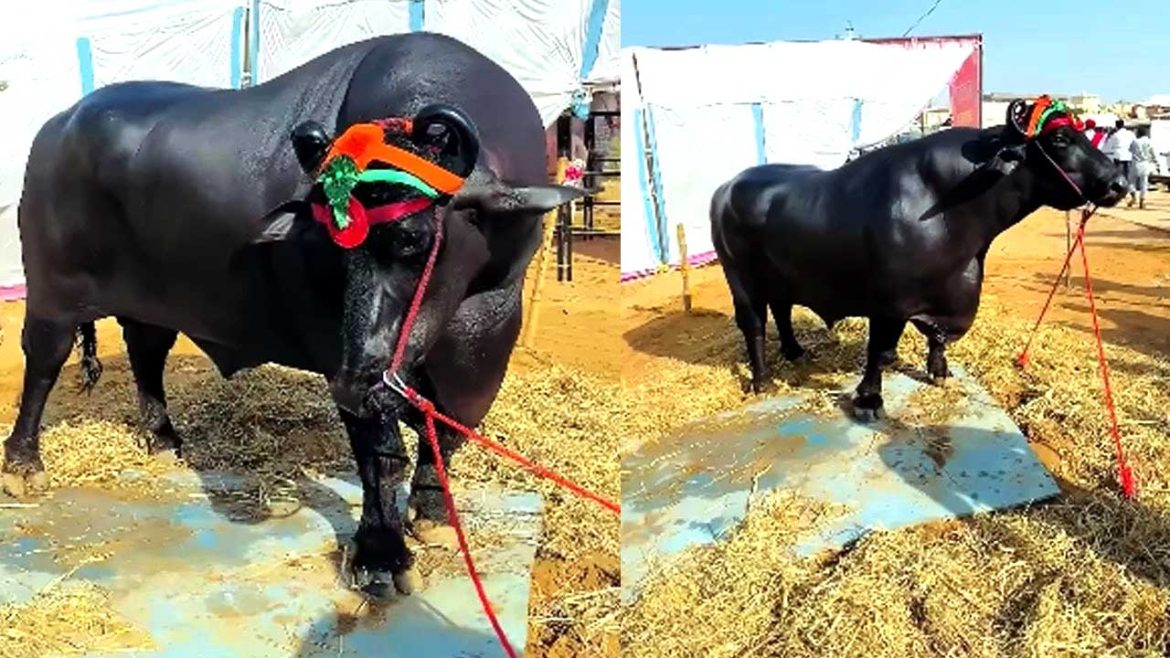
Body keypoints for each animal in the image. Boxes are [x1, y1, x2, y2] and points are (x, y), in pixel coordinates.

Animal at [2, 32, 588, 597]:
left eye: (412, 237)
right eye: (333, 242)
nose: (354, 383)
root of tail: (57, 126)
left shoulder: (488, 337)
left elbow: (444, 434)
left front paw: (433, 517)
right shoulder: (343, 357)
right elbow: (381, 454)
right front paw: (380, 558)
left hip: (155, 300)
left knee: (147, 350)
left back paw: (164, 439)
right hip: (53, 294)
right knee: (44, 362)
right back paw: (24, 464)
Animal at [710, 98, 1128, 421]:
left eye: (1085, 133)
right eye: (1059, 139)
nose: (1119, 184)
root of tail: (726, 189)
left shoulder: (949, 293)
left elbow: (937, 339)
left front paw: (939, 372)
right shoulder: (888, 304)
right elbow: (880, 352)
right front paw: (869, 399)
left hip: (782, 276)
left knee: (781, 310)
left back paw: (795, 352)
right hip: (740, 279)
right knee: (754, 325)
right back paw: (762, 380)